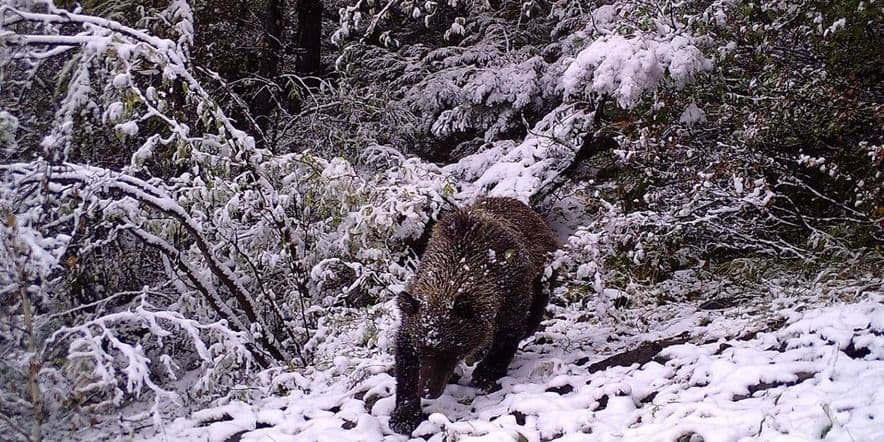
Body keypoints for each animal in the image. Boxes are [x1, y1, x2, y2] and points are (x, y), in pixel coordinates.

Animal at [388, 197, 556, 436]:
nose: (428, 390)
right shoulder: (414, 310)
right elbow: (405, 358)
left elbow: (508, 332)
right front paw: (404, 415)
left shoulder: (512, 290)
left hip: (544, 270)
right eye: (422, 349)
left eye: (450, 350)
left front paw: (486, 372)